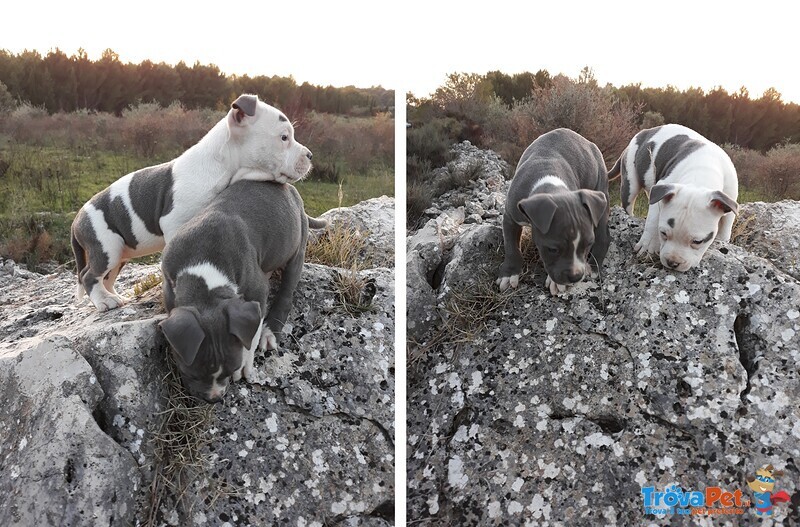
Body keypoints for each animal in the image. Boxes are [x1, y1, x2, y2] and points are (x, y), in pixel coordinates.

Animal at [71, 94, 312, 312]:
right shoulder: (174, 223)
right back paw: (104, 302)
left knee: (107, 277)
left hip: (119, 253)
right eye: (284, 137)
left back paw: (113, 296)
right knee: (89, 275)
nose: (310, 155)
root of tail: (76, 221)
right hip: (106, 247)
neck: (222, 166)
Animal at [160, 178, 328, 404]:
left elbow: (252, 329)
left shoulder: (257, 289)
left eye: (232, 369)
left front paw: (247, 361)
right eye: (191, 374)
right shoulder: (169, 284)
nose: (215, 398)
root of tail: (293, 191)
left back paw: (270, 331)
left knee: (287, 292)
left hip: (297, 246)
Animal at [496, 126, 608, 294]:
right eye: (552, 249)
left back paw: (594, 267)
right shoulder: (510, 216)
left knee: (604, 234)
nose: (575, 277)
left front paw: (556, 283)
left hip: (600, 189)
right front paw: (509, 274)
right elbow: (511, 246)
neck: (548, 182)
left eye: (588, 244)